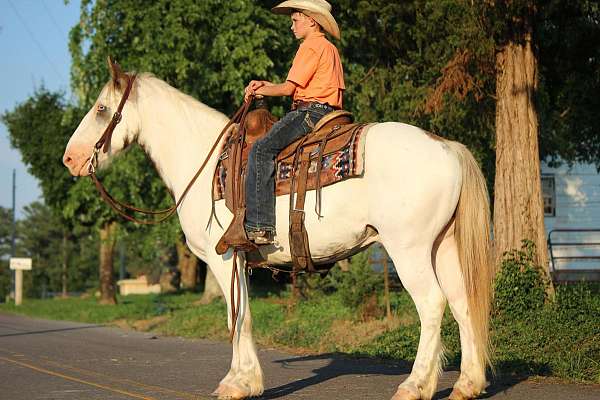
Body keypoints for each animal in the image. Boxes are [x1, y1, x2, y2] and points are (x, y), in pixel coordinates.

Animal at [62, 60, 492, 400]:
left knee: (432, 304)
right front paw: (245, 380)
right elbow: (243, 315)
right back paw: (466, 385)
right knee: (461, 302)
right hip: (442, 247)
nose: (70, 158)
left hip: (409, 250)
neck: (204, 162)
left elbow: (238, 317)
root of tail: (446, 146)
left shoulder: (223, 259)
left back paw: (414, 386)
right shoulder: (240, 262)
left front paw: (237, 383)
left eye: (101, 108)